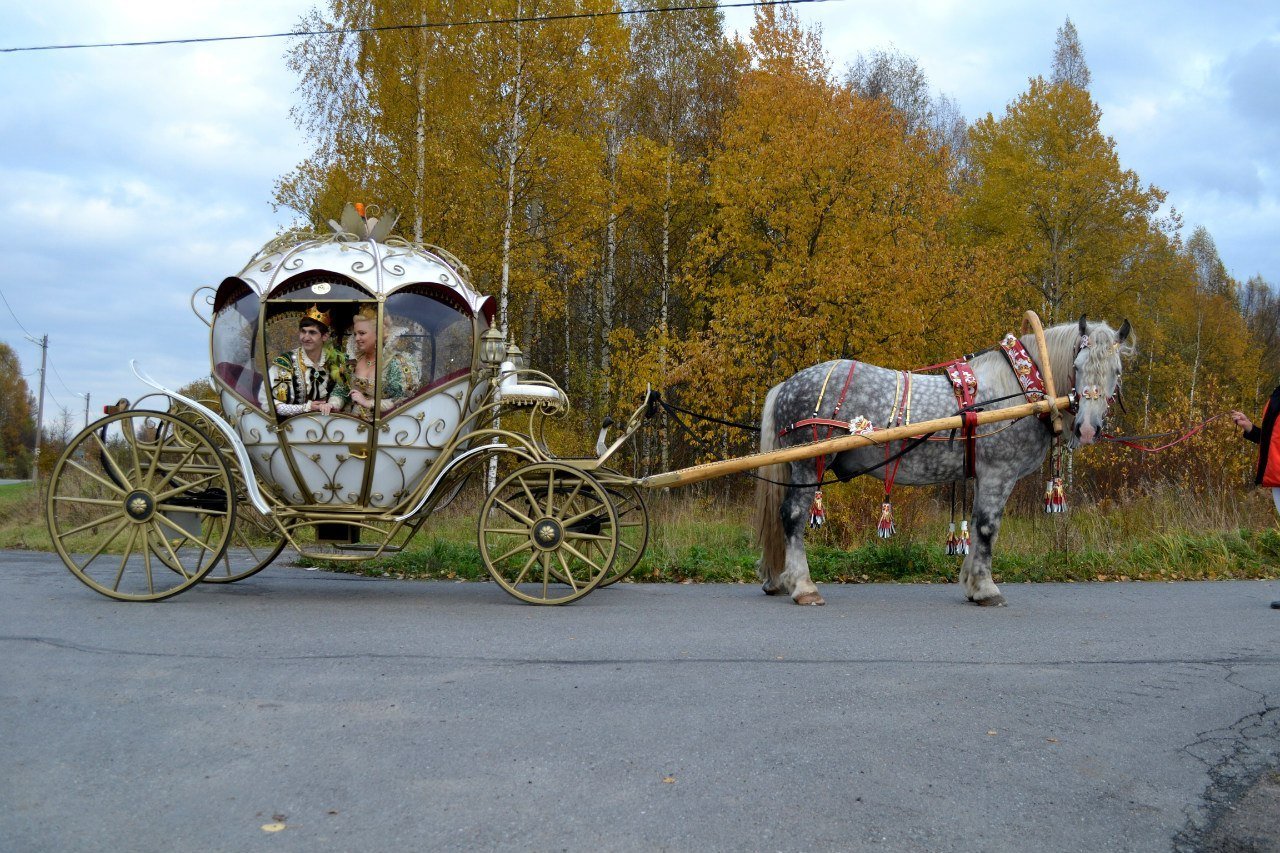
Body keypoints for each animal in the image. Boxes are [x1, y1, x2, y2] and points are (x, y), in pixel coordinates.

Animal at [752, 313, 1136, 604]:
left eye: (1116, 370)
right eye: (1078, 365)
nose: (1088, 428)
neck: (1021, 390)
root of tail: (786, 386)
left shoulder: (984, 475)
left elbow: (979, 526)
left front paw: (972, 583)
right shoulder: (999, 472)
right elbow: (987, 527)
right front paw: (985, 588)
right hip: (808, 464)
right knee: (793, 516)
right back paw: (804, 586)